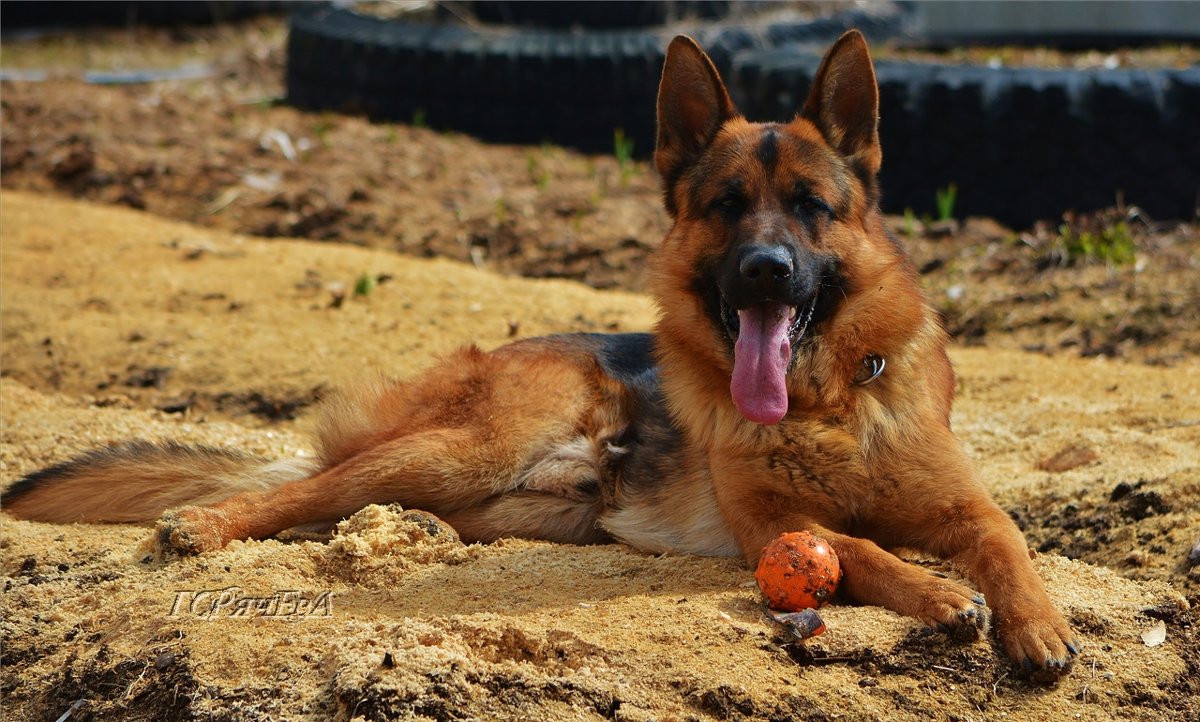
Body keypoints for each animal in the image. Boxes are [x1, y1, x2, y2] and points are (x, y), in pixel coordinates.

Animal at [2, 32, 1080, 676]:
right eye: (727, 205)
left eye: (812, 207)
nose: (765, 272)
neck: (823, 402)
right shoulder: (771, 526)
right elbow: (855, 546)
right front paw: (938, 595)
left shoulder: (963, 502)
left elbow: (1008, 541)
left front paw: (1039, 624)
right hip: (462, 448)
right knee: (304, 490)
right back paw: (207, 522)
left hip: (523, 504)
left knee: (349, 501)